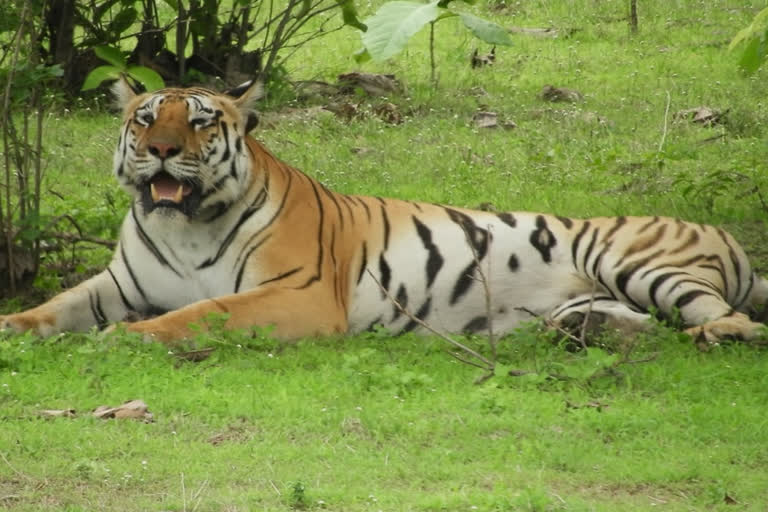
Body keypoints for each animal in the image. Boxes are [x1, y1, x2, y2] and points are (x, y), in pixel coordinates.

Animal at [1, 79, 768, 344]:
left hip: (636, 261)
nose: (159, 150)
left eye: (197, 122)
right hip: (605, 292)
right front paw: (14, 326)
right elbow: (54, 308)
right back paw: (580, 333)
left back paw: (715, 336)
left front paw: (127, 339)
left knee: (735, 320)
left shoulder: (300, 294)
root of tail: (724, 235)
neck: (184, 224)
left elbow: (201, 312)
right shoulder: (117, 283)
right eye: (144, 118)